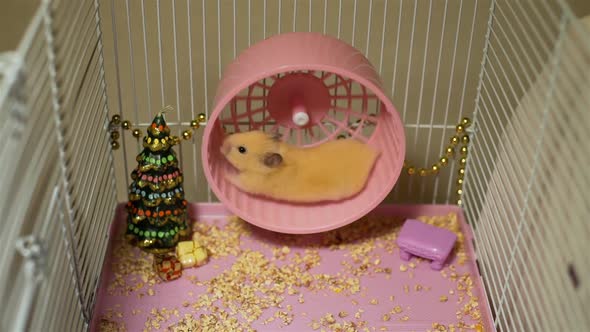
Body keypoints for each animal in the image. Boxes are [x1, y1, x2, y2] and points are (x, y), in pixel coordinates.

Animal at [220, 129, 382, 202]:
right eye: (246, 131)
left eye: (242, 149)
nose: (221, 145)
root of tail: (371, 153)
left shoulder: (251, 182)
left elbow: (235, 179)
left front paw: (225, 173)